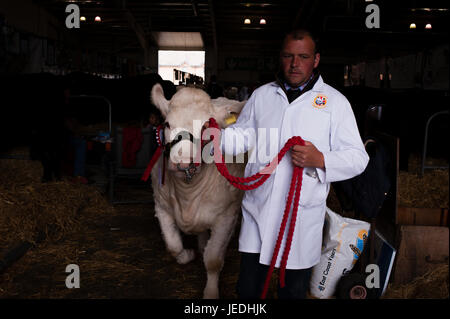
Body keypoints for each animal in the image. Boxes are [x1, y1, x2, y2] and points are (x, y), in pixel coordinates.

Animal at [151, 84, 244, 298]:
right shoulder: (161, 206)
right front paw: (187, 254)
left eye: (205, 126)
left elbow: (213, 260)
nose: (183, 162)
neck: (188, 193)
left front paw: (210, 292)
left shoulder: (227, 215)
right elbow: (173, 246)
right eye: (167, 124)